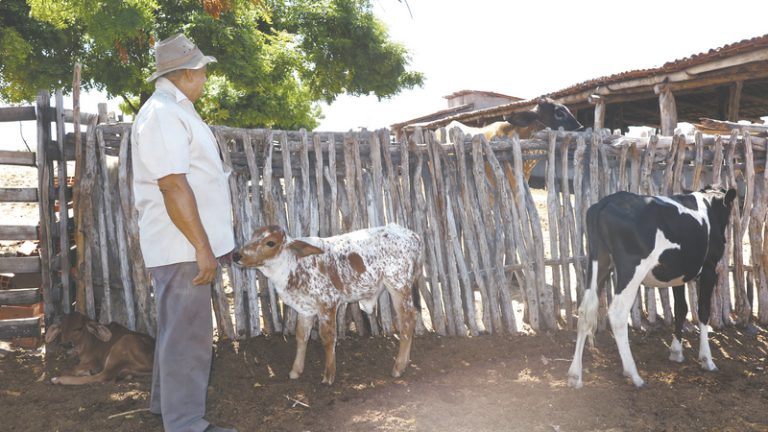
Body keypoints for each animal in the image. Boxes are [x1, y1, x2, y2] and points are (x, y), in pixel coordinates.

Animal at [568, 186, 736, 388]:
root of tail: (605, 202)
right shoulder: (710, 268)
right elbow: (703, 311)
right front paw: (707, 360)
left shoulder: (678, 274)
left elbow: (681, 308)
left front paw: (676, 352)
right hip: (631, 268)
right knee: (617, 313)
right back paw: (634, 375)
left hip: (597, 261)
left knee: (585, 310)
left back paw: (575, 375)